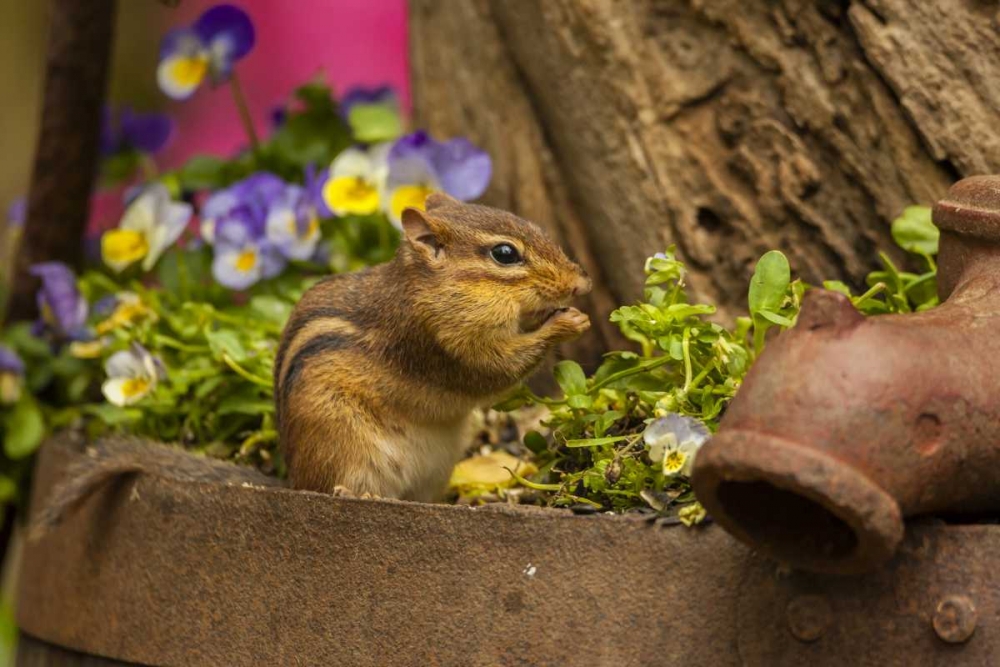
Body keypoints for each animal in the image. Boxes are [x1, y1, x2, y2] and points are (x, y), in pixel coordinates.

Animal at [274, 193, 591, 501]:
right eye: (505, 254)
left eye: (538, 229)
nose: (581, 283)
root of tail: (294, 477)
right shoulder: (446, 345)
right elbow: (499, 368)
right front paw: (568, 323)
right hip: (342, 445)